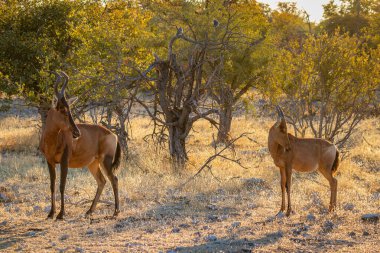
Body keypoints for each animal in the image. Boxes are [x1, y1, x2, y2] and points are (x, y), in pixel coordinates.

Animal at [40, 71, 120, 219]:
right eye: (62, 109)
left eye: (69, 109)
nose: (77, 133)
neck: (53, 139)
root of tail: (113, 135)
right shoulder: (50, 161)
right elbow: (52, 185)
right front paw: (51, 213)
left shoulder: (64, 161)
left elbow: (62, 185)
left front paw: (61, 214)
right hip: (93, 164)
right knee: (102, 181)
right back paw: (89, 211)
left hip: (105, 161)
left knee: (114, 179)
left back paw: (116, 212)